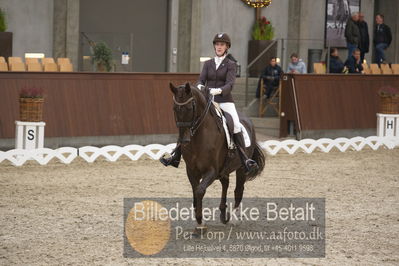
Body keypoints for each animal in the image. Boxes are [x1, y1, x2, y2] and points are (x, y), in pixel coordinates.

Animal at [169, 82, 266, 229]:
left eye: (189, 108)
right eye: (175, 109)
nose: (183, 140)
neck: (199, 137)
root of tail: (248, 120)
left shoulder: (212, 170)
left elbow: (200, 190)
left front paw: (200, 222)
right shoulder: (191, 170)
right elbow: (195, 191)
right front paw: (200, 221)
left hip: (241, 168)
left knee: (238, 190)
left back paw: (234, 218)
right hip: (224, 168)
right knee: (225, 183)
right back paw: (223, 213)